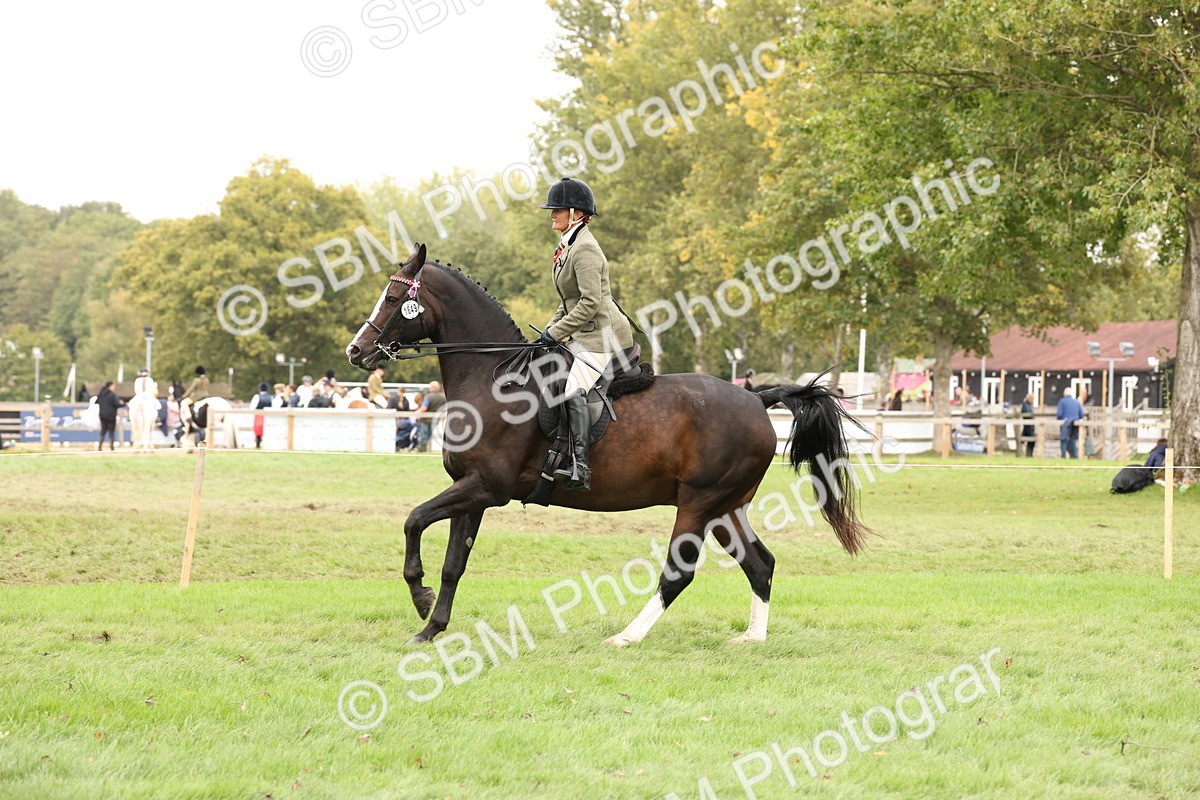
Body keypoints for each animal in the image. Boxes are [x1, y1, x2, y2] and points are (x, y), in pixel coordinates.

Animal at [345, 243, 869, 646]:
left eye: (394, 297)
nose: (356, 351)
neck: (492, 380)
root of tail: (755, 397)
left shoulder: (486, 487)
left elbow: (414, 520)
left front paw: (419, 597)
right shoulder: (472, 491)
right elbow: (454, 563)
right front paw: (431, 628)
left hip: (700, 503)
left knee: (679, 573)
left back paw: (627, 636)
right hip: (726, 508)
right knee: (760, 565)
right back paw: (752, 638)